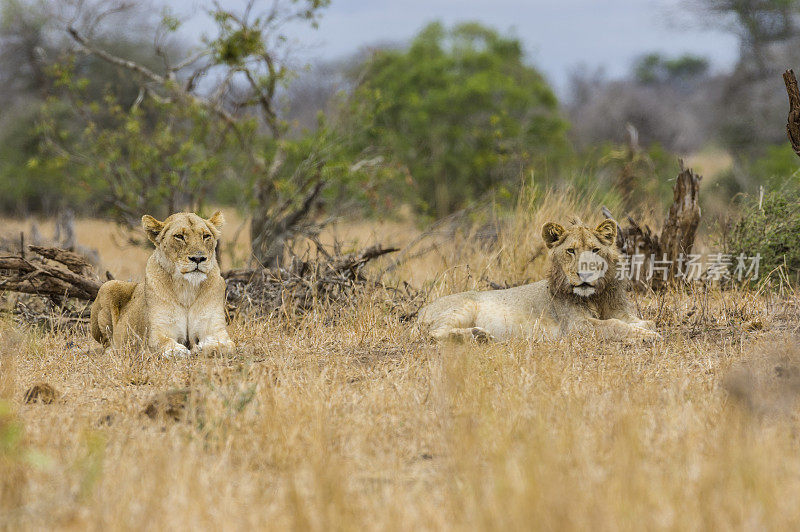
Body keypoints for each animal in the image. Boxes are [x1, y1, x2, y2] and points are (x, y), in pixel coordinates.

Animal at [92, 212, 234, 358]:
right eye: (179, 236)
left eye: (206, 236)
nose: (198, 258)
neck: (187, 288)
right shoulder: (155, 335)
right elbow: (167, 346)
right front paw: (181, 350)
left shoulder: (214, 330)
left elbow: (227, 346)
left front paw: (201, 348)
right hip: (108, 286)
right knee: (107, 343)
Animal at [416, 219, 660, 340]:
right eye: (571, 250)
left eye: (595, 250)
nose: (585, 274)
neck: (597, 295)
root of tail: (421, 311)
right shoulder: (575, 326)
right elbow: (614, 325)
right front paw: (649, 336)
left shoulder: (619, 311)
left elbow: (640, 321)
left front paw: (646, 328)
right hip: (462, 308)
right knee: (432, 333)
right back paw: (478, 335)